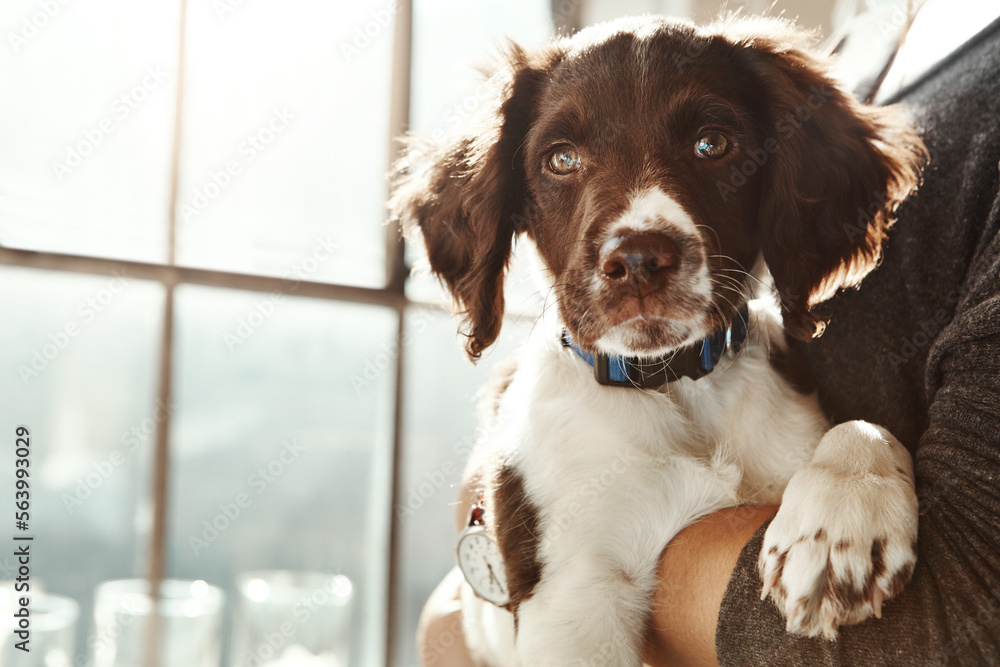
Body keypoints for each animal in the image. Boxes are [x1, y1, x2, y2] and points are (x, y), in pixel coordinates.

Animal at [388, 15, 920, 667]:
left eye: (712, 144)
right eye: (561, 159)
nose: (639, 262)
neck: (672, 380)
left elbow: (862, 427)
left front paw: (838, 529)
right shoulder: (573, 593)